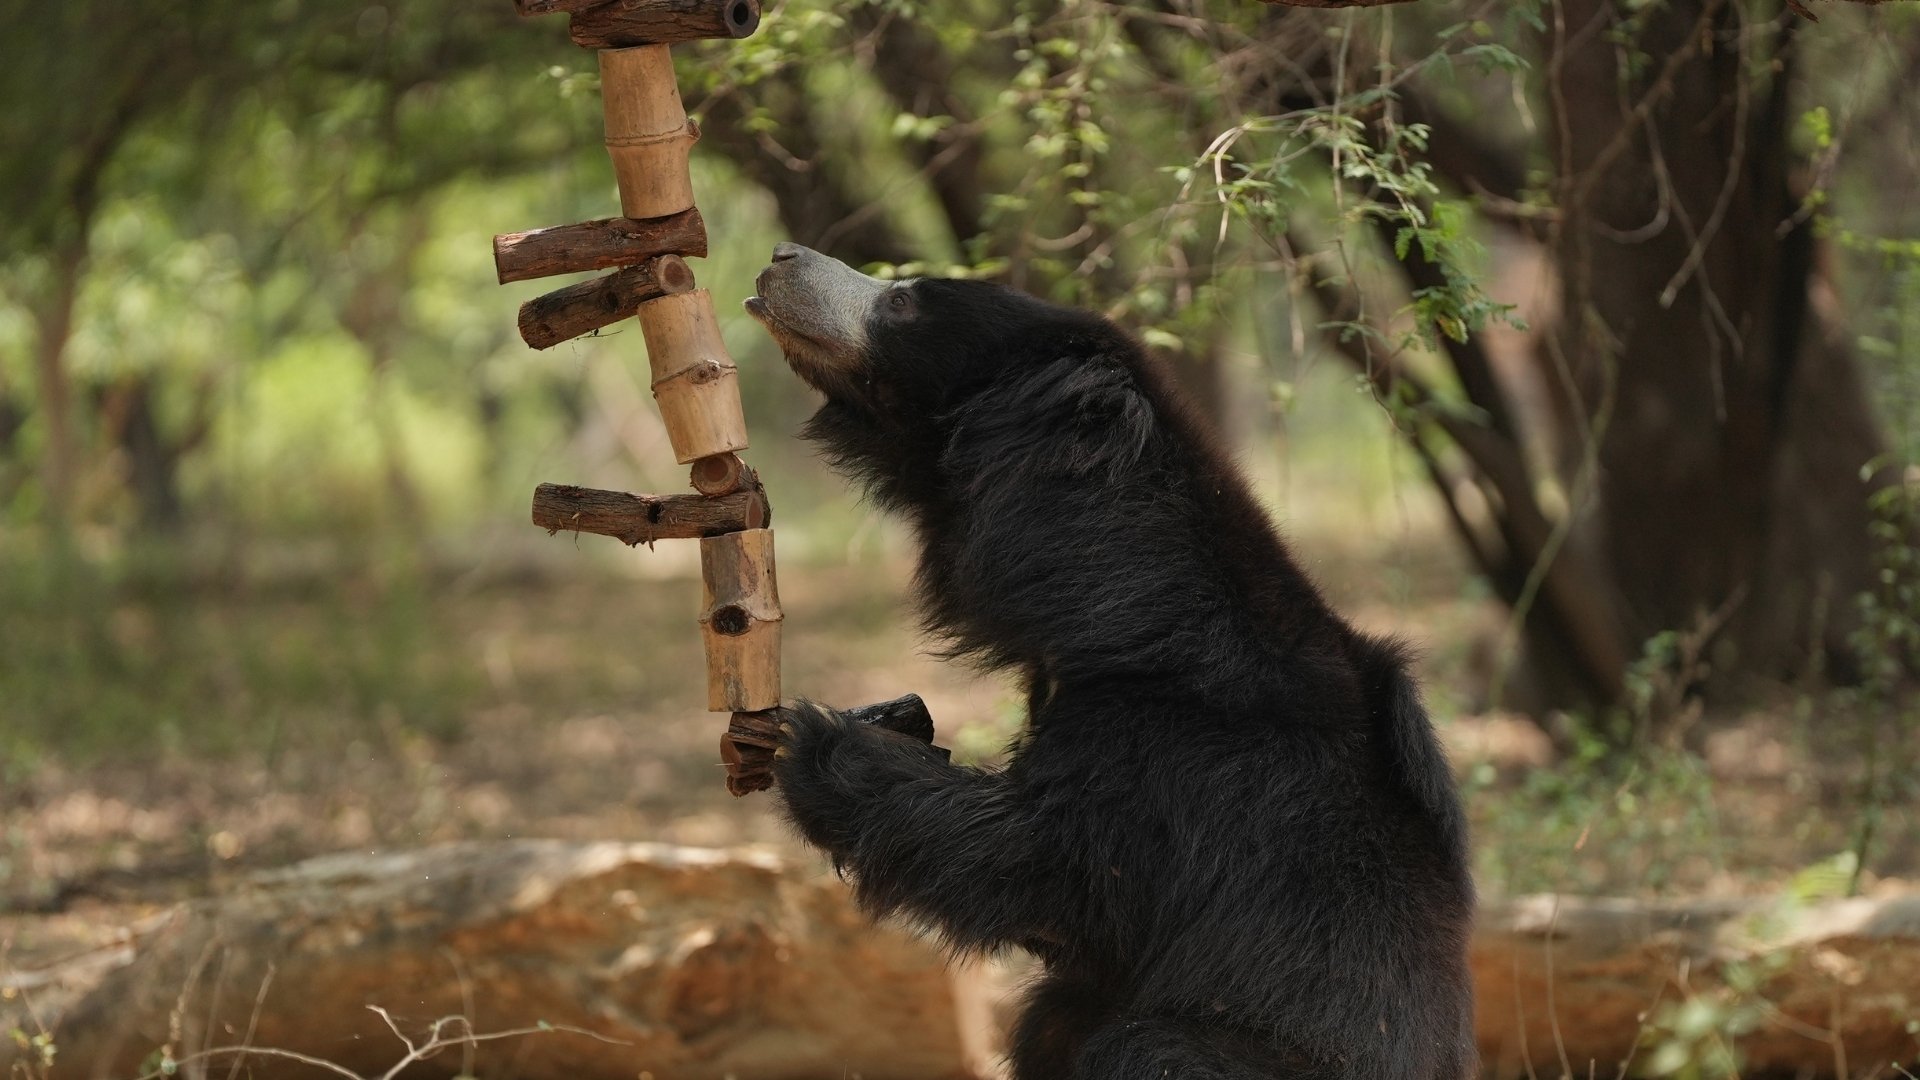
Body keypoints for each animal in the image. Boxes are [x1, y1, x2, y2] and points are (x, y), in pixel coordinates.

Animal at [743, 242, 1477, 1080]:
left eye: (904, 303)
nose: (780, 259)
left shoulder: (1180, 760)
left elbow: (1049, 863)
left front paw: (815, 739)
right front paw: (891, 721)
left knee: (1144, 1042)